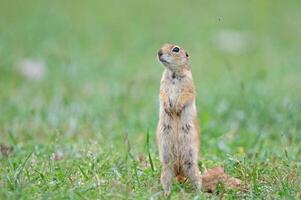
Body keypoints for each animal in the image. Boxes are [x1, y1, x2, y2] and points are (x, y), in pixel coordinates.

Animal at [156, 43, 200, 195]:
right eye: (162, 45)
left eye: (176, 49)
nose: (159, 52)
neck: (173, 73)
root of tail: (180, 170)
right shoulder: (162, 84)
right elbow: (162, 94)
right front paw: (169, 108)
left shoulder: (189, 84)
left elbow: (187, 94)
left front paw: (177, 108)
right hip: (166, 168)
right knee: (166, 181)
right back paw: (166, 193)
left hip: (192, 165)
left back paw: (199, 193)